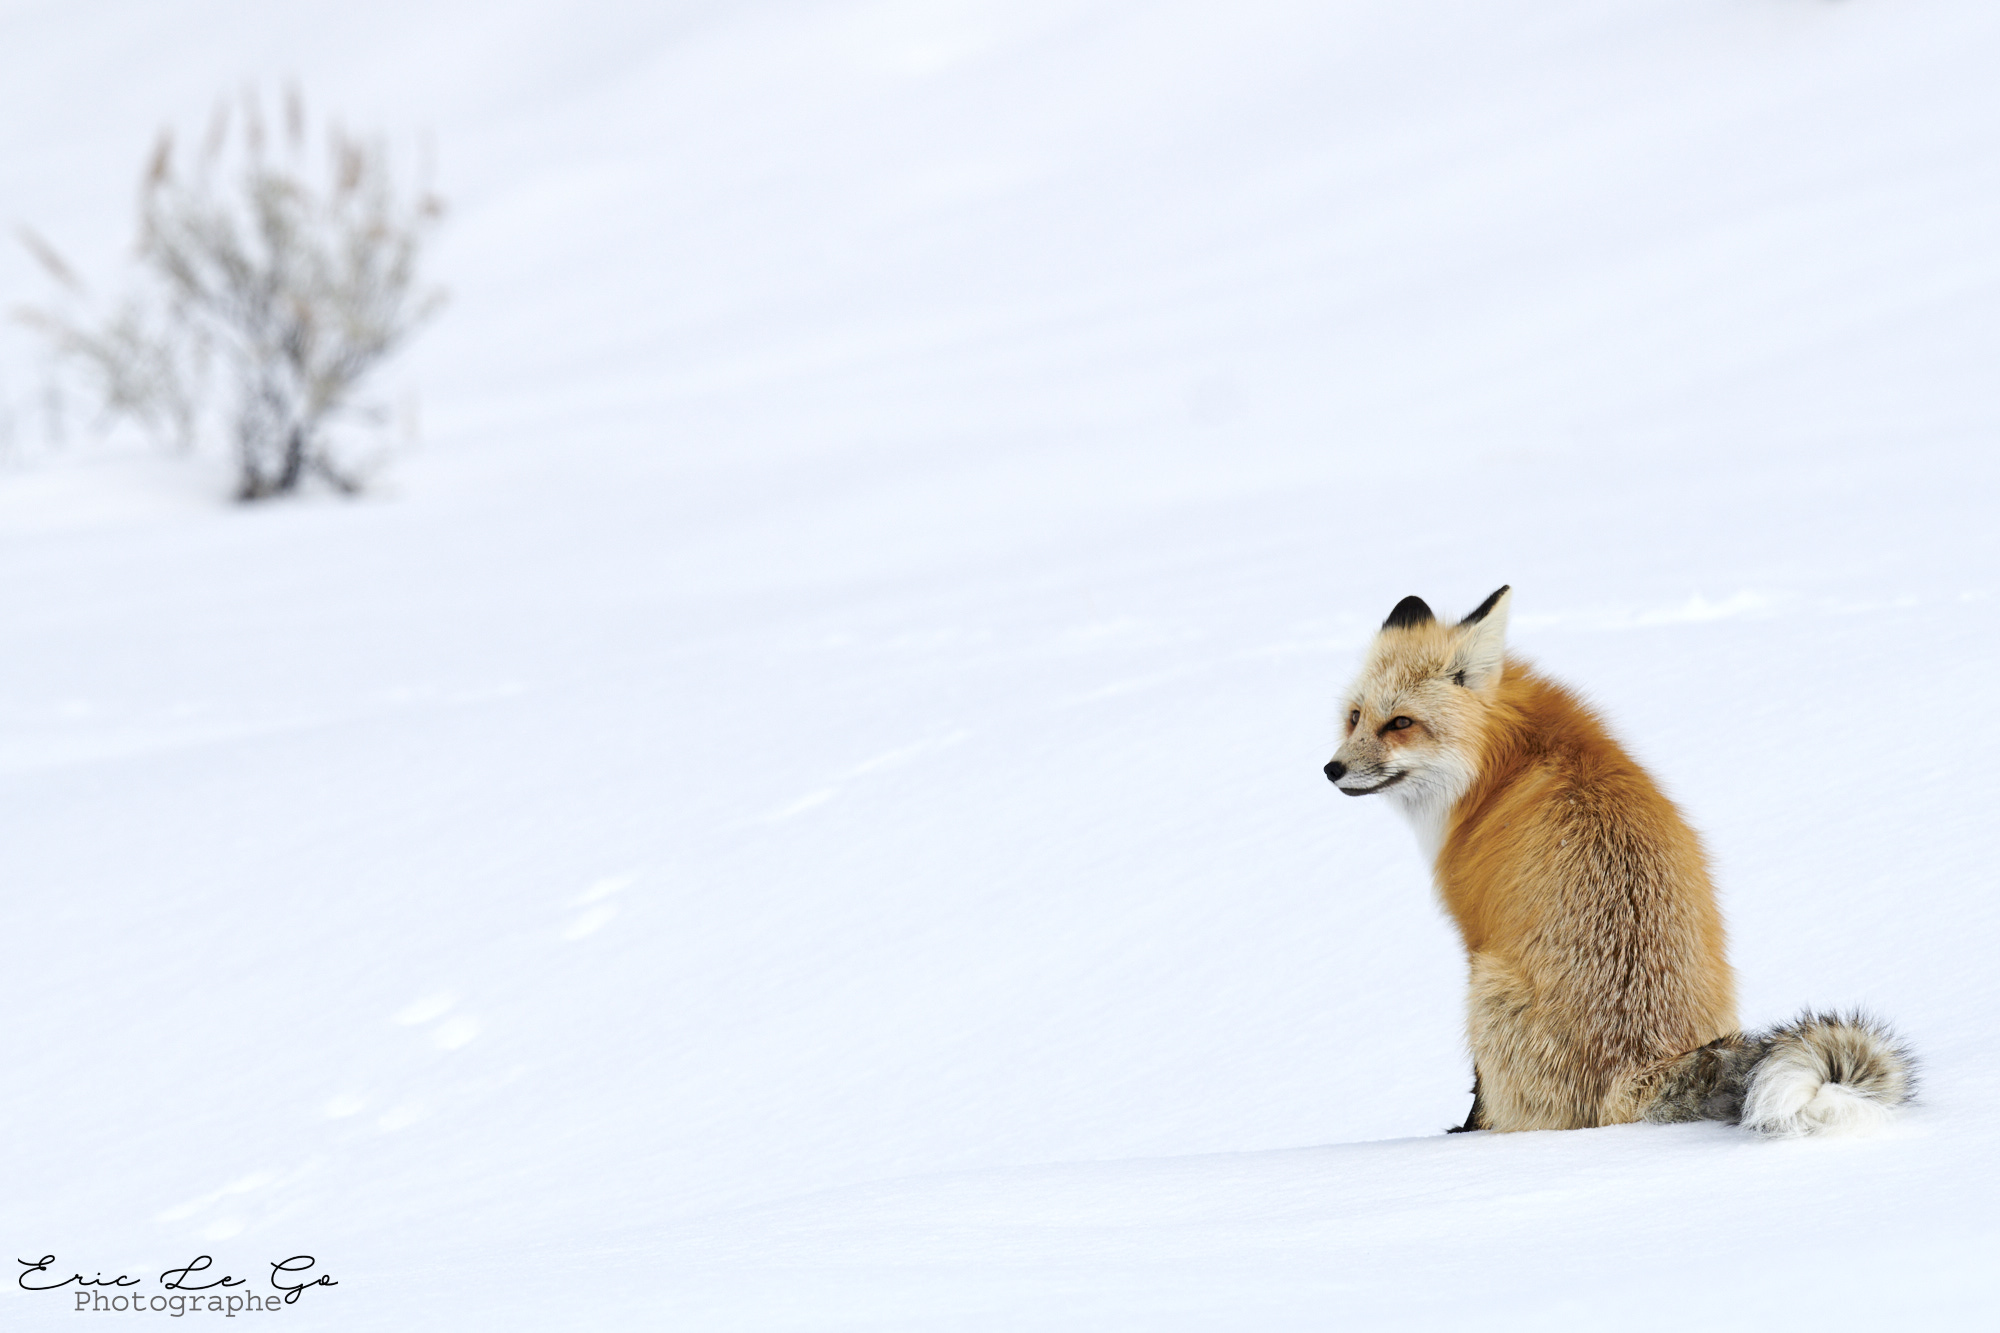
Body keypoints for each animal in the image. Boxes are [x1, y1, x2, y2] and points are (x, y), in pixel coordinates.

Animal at [1324, 585, 1914, 1136]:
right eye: (1355, 718)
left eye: (1400, 723)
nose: (1331, 769)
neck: (1500, 761)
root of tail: (1643, 1067)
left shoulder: (1477, 936)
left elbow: (1476, 1084)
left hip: (1488, 990)